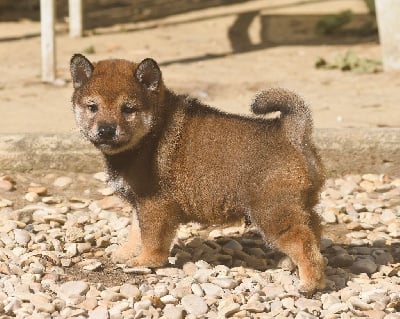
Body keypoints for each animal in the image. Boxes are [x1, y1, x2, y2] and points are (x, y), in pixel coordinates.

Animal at [69, 54, 324, 296]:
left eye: (128, 109)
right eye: (93, 107)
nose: (106, 130)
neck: (150, 134)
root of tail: (291, 132)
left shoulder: (154, 204)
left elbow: (151, 238)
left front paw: (145, 261)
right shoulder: (139, 201)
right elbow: (136, 231)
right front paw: (126, 253)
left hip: (273, 213)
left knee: (303, 243)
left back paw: (310, 283)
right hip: (301, 206)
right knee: (314, 233)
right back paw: (292, 265)